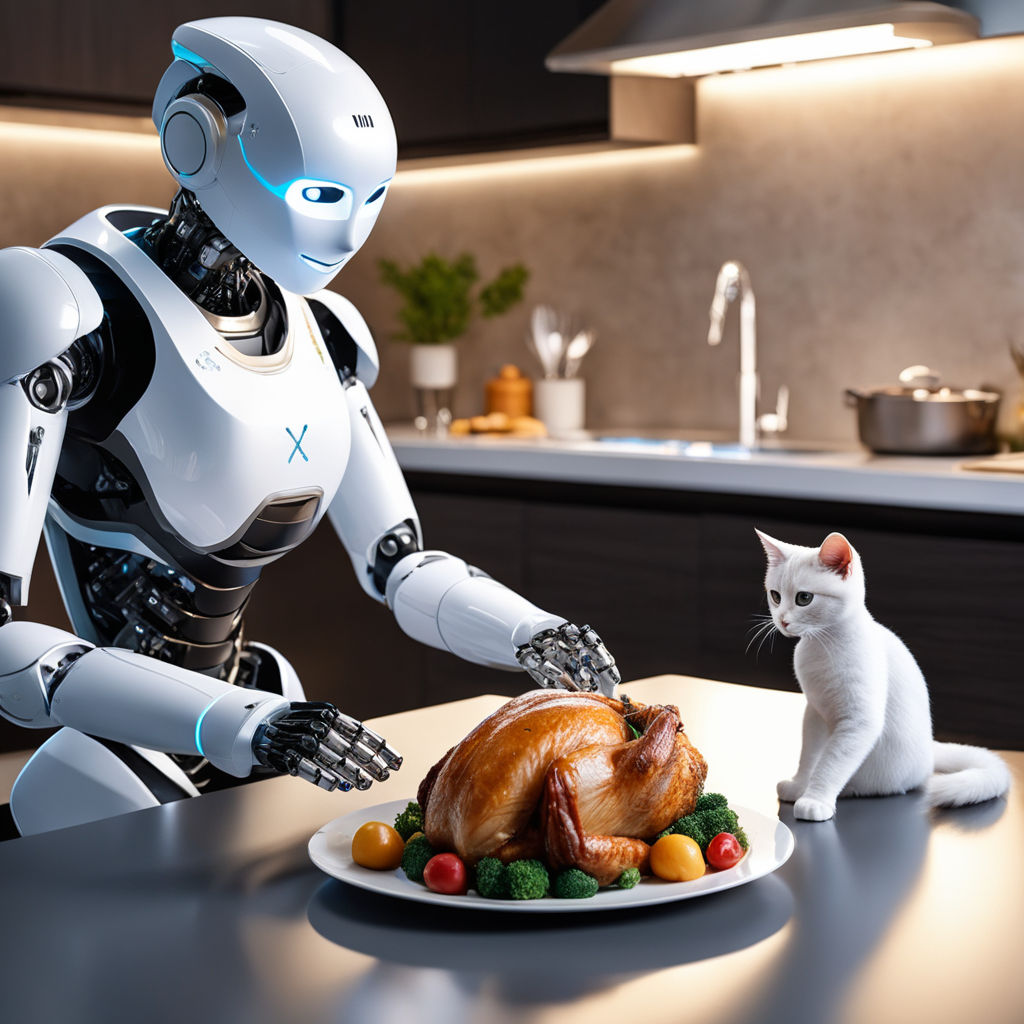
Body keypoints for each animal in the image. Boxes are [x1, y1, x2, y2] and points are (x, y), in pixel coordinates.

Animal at [757, 532, 1011, 819]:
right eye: (775, 596)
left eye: (803, 598)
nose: (782, 620)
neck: (822, 647)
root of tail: (929, 752)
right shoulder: (815, 712)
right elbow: (810, 756)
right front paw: (800, 784)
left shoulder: (859, 722)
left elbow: (831, 763)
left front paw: (815, 798)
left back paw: (847, 790)